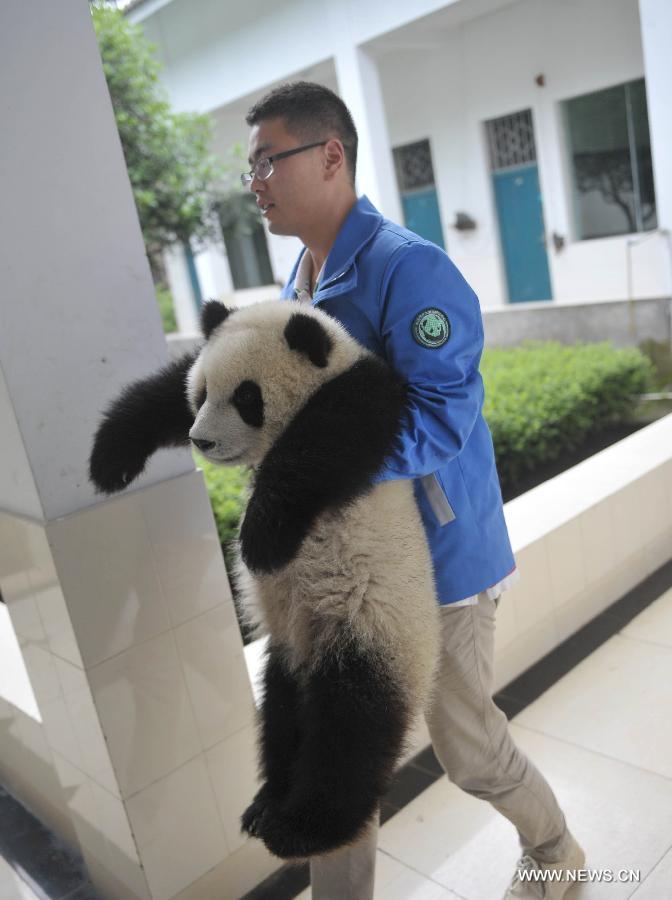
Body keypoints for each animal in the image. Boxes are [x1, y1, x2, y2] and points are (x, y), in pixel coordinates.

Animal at [89, 299, 440, 860]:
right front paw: (110, 459)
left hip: (372, 628)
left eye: (247, 398)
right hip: (291, 646)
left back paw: (301, 826)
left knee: (350, 731)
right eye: (202, 392)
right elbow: (162, 395)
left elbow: (322, 445)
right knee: (280, 715)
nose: (201, 440)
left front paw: (259, 539)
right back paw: (266, 803)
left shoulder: (367, 395)